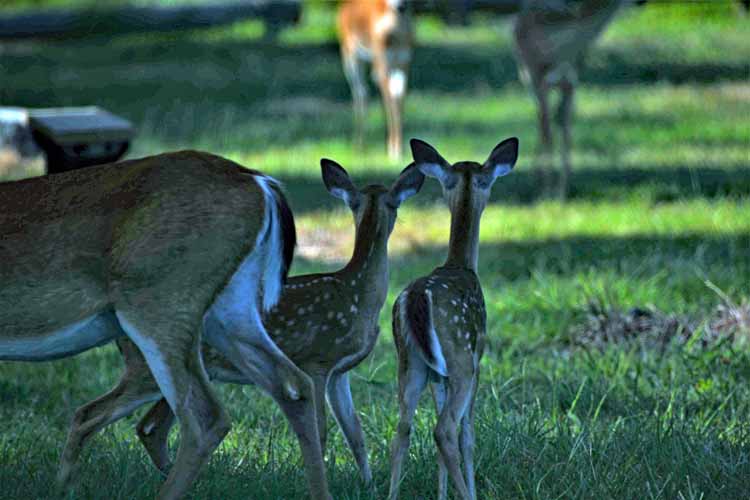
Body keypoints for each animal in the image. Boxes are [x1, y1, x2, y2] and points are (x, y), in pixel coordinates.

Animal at [55, 159, 425, 488]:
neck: (356, 292)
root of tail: (119, 330)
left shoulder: (340, 372)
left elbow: (355, 432)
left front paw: (368, 485)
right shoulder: (316, 360)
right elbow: (321, 428)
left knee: (152, 427)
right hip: (145, 370)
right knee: (96, 415)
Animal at [388, 138, 519, 500]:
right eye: (487, 180)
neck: (461, 264)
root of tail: (416, 298)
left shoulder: (438, 375)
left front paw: (441, 494)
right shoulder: (477, 359)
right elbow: (468, 435)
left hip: (410, 363)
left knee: (402, 429)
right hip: (460, 358)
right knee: (445, 430)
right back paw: (468, 495)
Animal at [513, 0, 627, 199]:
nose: (642, 2)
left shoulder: (571, 84)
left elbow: (566, 131)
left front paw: (562, 191)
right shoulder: (540, 81)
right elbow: (549, 133)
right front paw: (547, 192)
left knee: (548, 119)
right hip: (526, 77)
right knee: (542, 121)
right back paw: (536, 180)